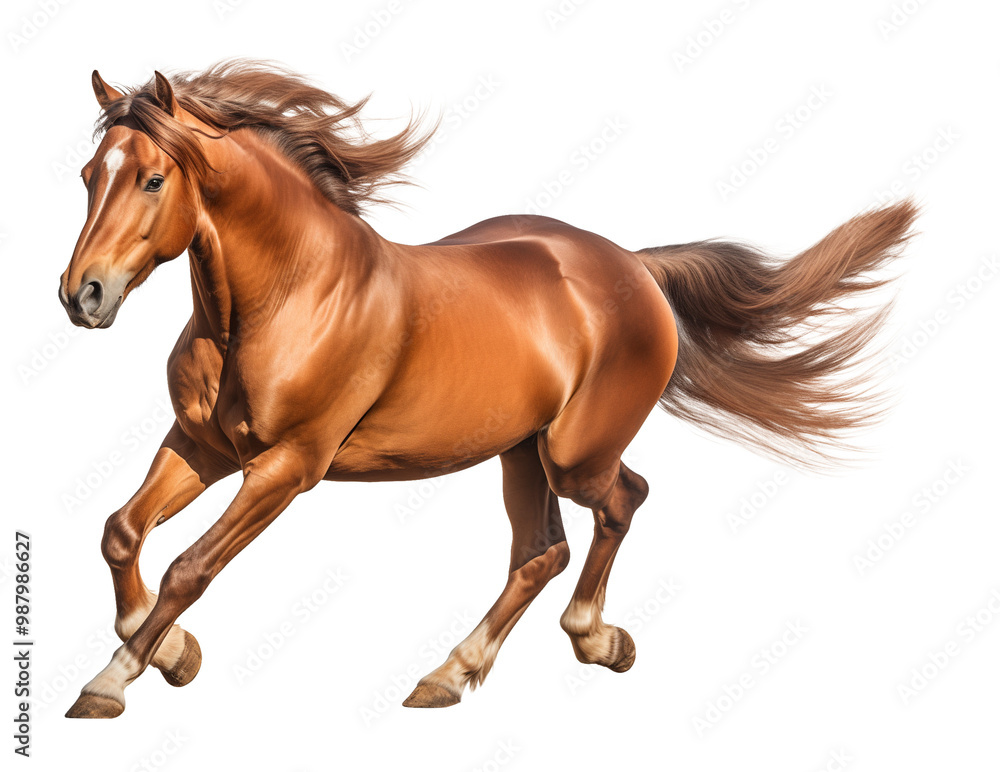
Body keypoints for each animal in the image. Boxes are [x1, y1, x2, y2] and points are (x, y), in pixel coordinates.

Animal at [59, 61, 916, 718]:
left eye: (152, 178)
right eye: (89, 176)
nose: (82, 295)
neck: (286, 296)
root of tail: (635, 267)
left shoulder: (287, 466)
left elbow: (189, 568)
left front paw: (110, 682)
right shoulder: (201, 446)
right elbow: (121, 532)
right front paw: (172, 651)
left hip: (571, 455)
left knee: (622, 501)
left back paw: (593, 640)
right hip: (518, 453)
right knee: (543, 551)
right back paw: (451, 674)